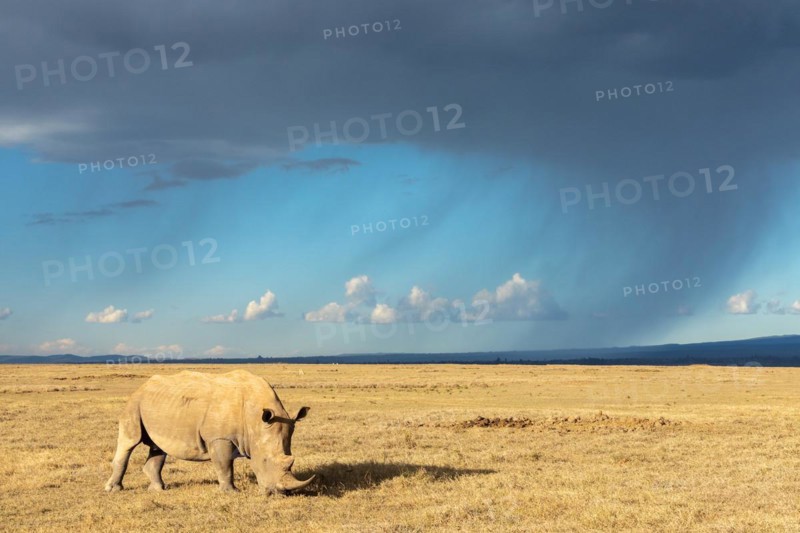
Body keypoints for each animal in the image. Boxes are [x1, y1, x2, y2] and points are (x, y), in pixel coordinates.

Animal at [104, 370, 315, 494]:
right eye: (264, 461)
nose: (279, 493)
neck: (255, 420)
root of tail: (144, 386)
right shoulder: (219, 437)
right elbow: (225, 465)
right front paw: (231, 492)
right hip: (134, 403)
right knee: (130, 441)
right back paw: (113, 490)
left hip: (159, 405)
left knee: (158, 447)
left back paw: (159, 490)